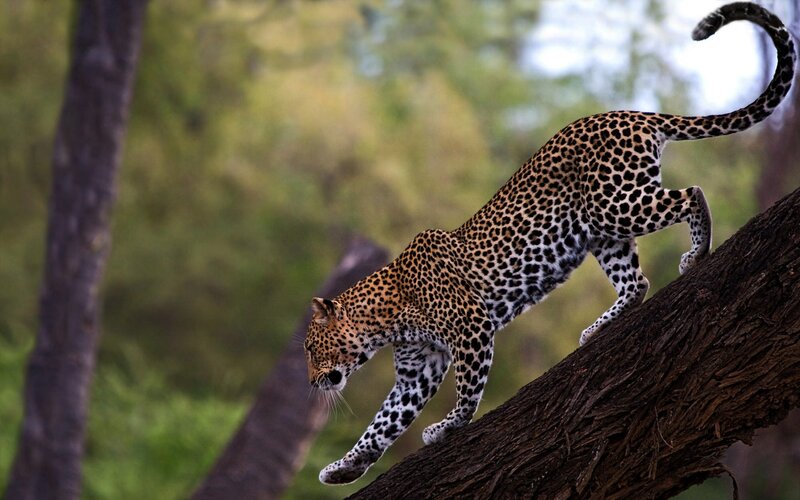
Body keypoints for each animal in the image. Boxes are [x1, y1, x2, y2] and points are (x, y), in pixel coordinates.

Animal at [303, 2, 796, 485]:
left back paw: (697, 253)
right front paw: (345, 467)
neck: (386, 318)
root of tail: (630, 113)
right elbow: (383, 421)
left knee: (692, 194)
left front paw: (448, 426)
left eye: (309, 349)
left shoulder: (470, 327)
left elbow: (467, 389)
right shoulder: (417, 369)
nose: (311, 383)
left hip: (616, 203)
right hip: (602, 232)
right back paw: (599, 328)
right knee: (635, 282)